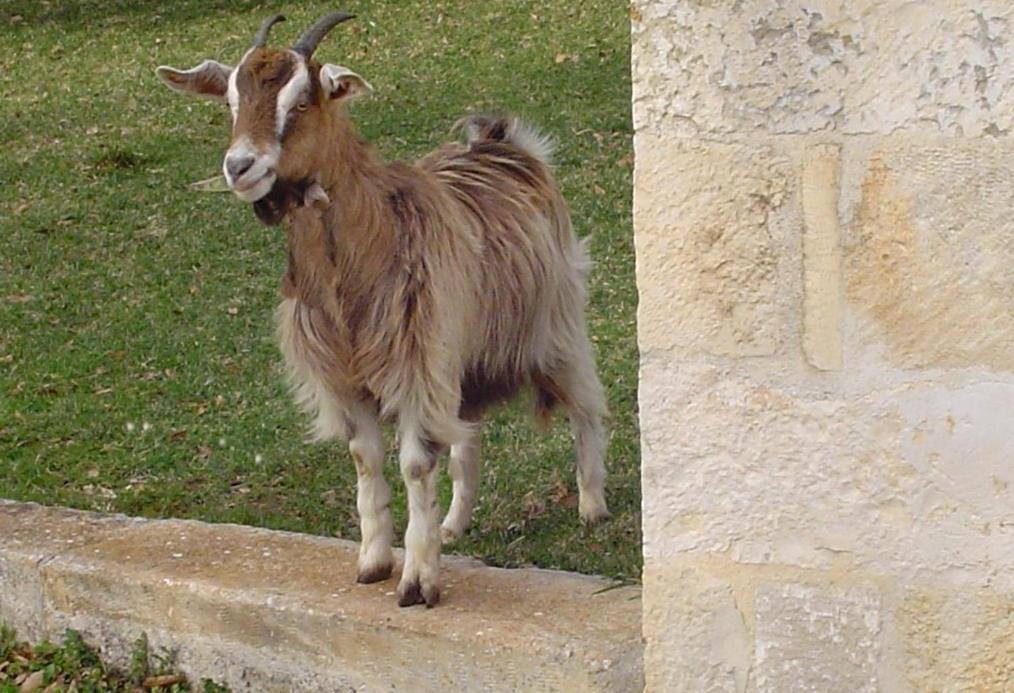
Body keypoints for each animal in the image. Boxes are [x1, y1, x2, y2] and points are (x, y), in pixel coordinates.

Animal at [154, 10, 604, 608]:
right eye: (230, 101)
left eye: (302, 101)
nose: (240, 166)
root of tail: (503, 144)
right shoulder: (350, 375)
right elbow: (365, 459)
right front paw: (373, 561)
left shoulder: (415, 367)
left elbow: (415, 465)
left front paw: (419, 581)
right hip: (460, 357)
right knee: (466, 439)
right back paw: (454, 525)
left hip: (555, 323)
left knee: (585, 406)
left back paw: (592, 506)